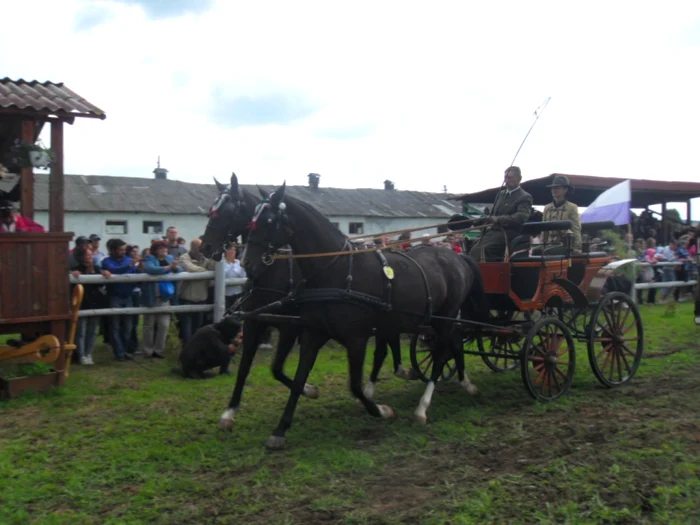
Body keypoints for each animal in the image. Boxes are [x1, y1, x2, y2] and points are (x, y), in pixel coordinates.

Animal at [200, 174, 412, 432]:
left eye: (229, 210)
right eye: (212, 208)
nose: (205, 247)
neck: (275, 270)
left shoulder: (290, 327)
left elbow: (277, 368)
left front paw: (309, 390)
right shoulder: (255, 322)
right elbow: (245, 367)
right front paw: (230, 412)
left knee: (384, 346)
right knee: (383, 346)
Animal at [241, 182, 482, 448]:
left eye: (269, 220)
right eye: (251, 220)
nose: (246, 263)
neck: (337, 272)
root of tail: (457, 257)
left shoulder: (356, 338)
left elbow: (355, 385)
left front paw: (382, 410)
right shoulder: (314, 333)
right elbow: (298, 379)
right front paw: (280, 430)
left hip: (444, 317)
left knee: (440, 354)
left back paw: (422, 408)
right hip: (439, 320)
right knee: (455, 345)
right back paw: (467, 384)